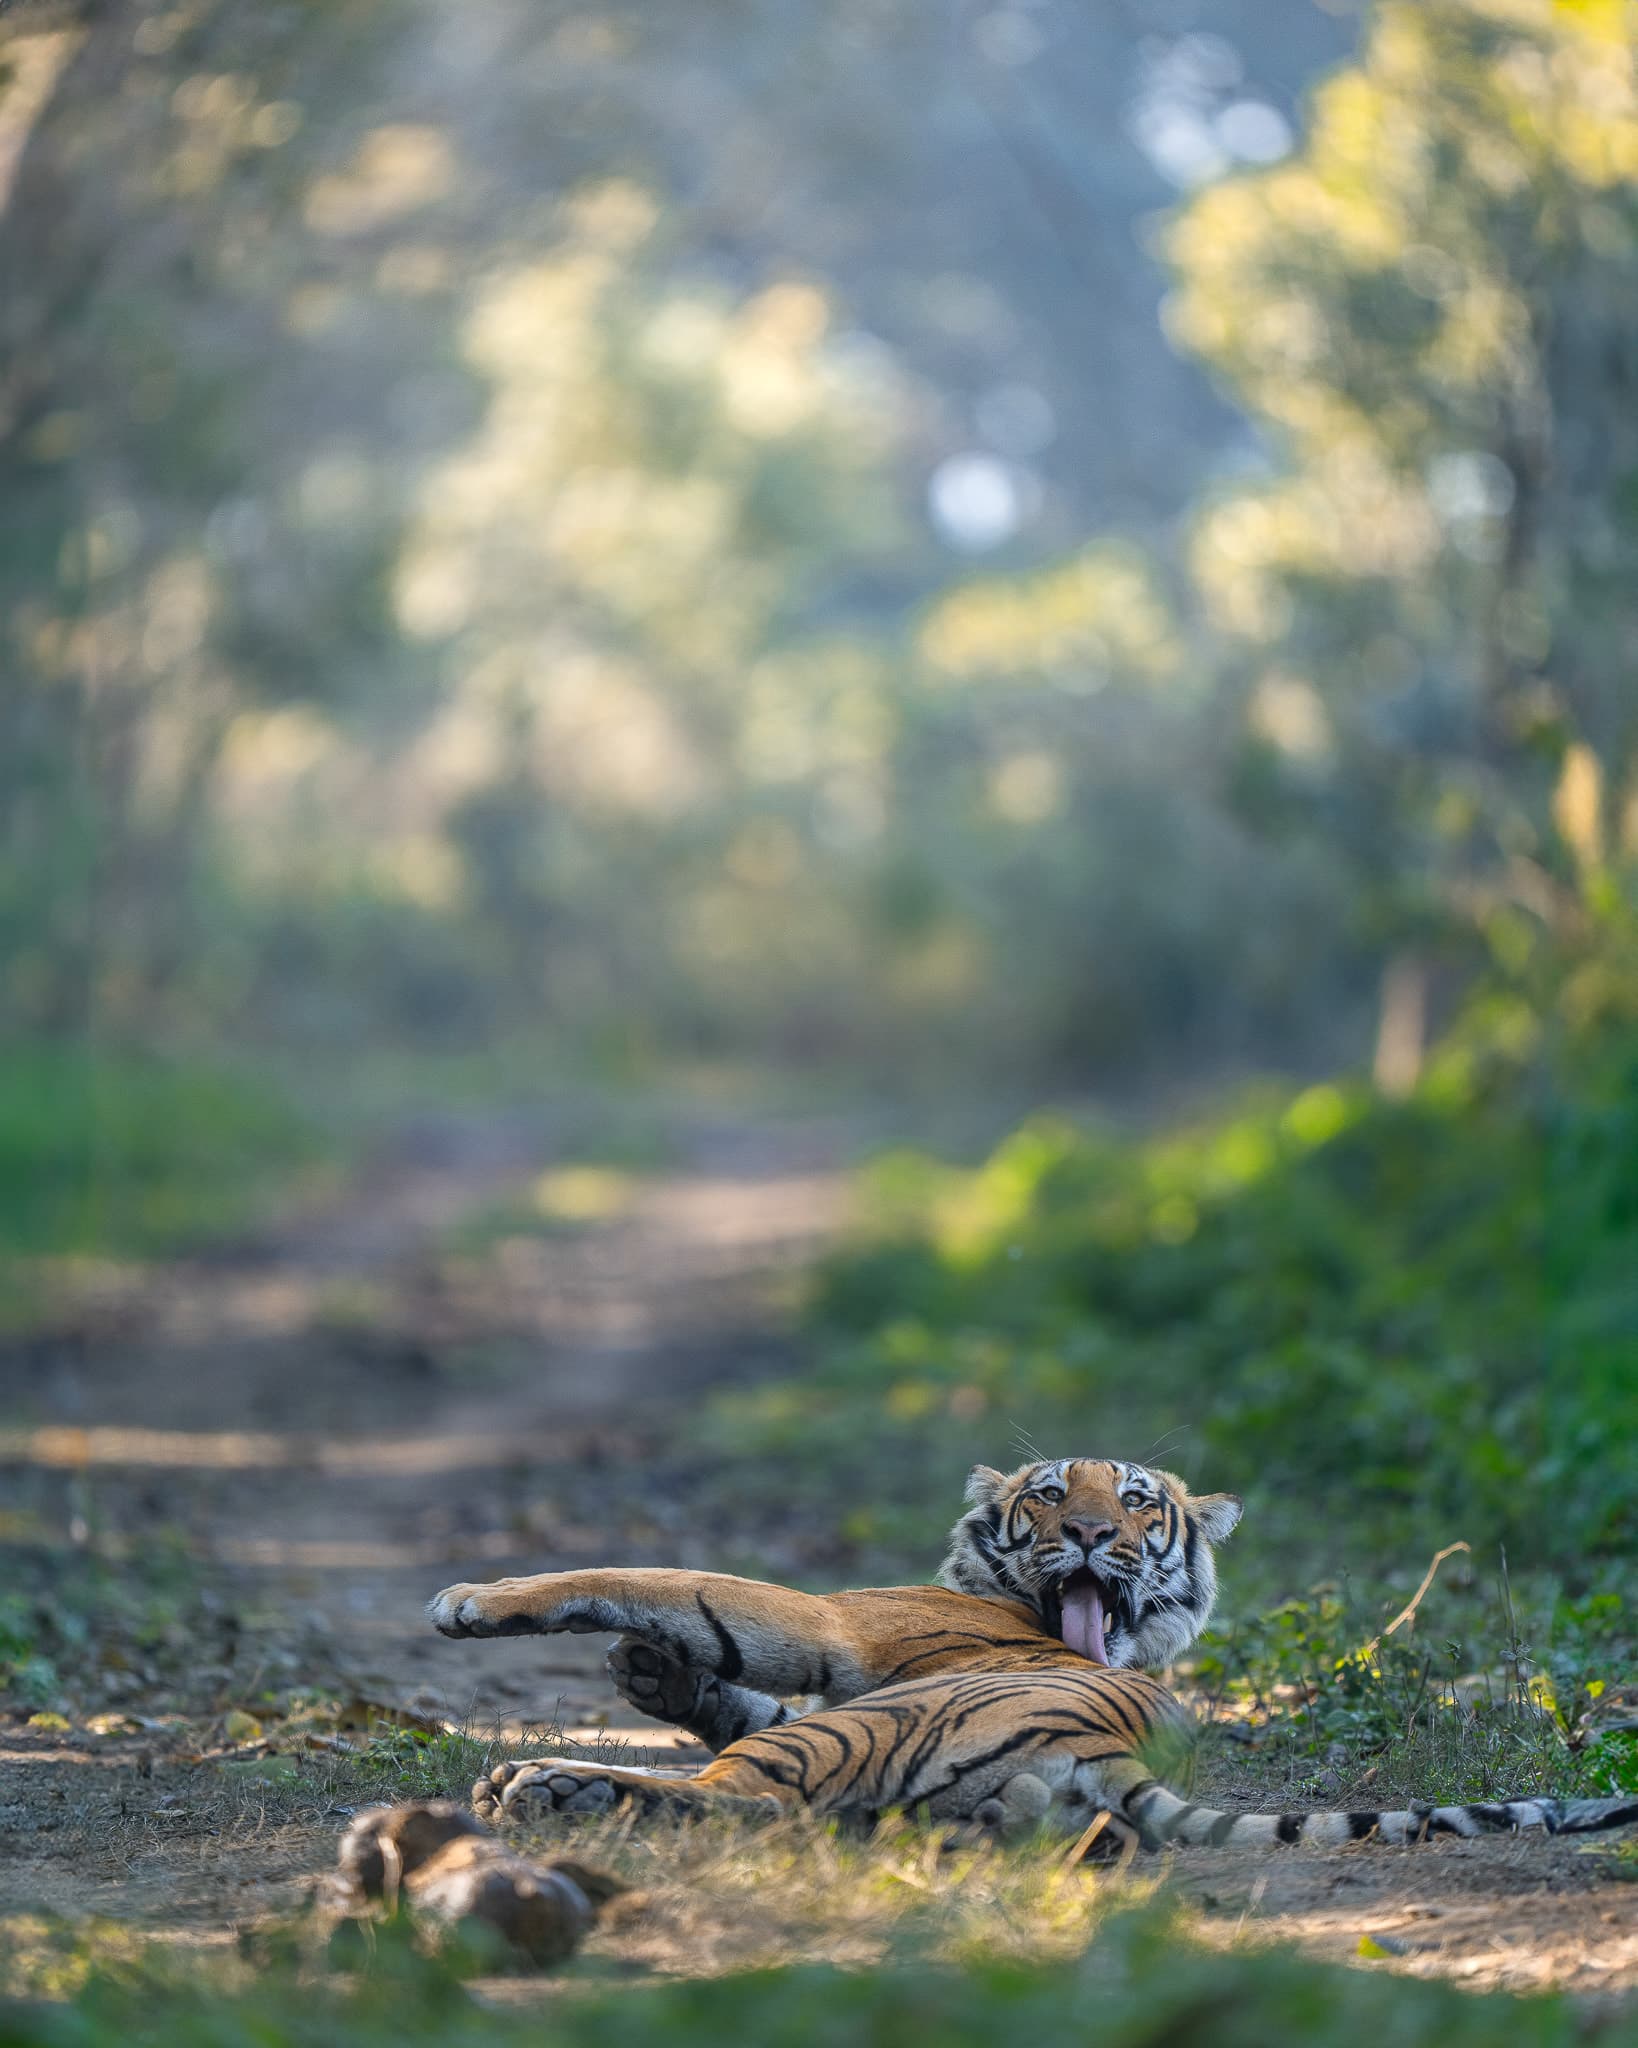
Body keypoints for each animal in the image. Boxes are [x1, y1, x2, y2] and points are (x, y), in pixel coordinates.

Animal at [429, 1456, 1638, 1850]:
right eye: (1053, 1491)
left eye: (1138, 1501)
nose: (1095, 1532)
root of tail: (1108, 1755)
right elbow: (728, 1686)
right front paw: (652, 1671)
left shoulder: (835, 1629)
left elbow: (667, 1581)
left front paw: (471, 1600)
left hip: (848, 1733)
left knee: (746, 1800)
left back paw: (544, 1781)